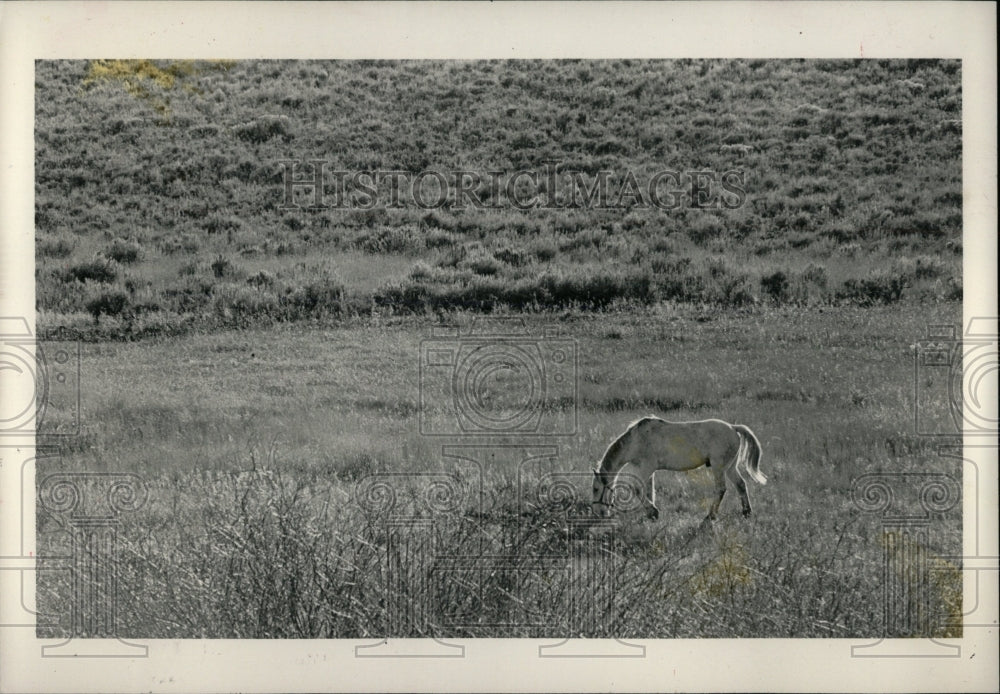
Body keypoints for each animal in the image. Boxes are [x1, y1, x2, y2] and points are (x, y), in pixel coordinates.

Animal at [588, 418, 768, 520]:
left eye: (596, 489)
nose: (598, 513)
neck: (636, 441)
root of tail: (733, 427)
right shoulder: (649, 471)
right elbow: (648, 490)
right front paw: (651, 514)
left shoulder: (645, 468)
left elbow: (636, 489)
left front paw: (653, 511)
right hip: (730, 467)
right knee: (741, 485)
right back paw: (746, 512)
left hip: (719, 467)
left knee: (721, 489)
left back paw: (710, 516)